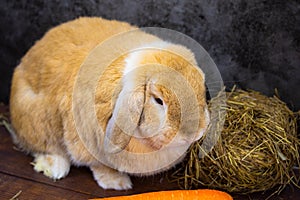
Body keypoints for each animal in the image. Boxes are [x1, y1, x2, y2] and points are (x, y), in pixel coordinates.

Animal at [10, 16, 210, 189]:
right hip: (37, 120)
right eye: (158, 100)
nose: (195, 133)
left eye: (200, 84)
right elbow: (98, 165)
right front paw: (117, 183)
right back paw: (55, 167)